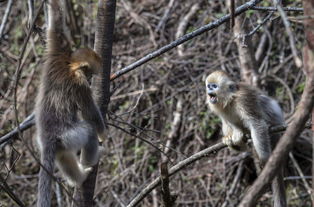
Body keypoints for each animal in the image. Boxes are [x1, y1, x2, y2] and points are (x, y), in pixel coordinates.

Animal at [36, 0, 105, 206]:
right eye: (90, 73)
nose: (91, 78)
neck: (69, 66)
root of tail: (48, 138)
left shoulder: (56, 52)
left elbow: (56, 24)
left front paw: (51, 5)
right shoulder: (79, 83)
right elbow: (90, 113)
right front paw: (104, 134)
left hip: (61, 143)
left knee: (63, 157)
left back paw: (79, 177)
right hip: (70, 135)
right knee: (88, 131)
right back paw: (89, 164)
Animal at [205, 71, 286, 207]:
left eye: (214, 86)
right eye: (209, 86)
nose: (209, 89)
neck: (230, 100)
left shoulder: (243, 99)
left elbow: (257, 123)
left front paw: (265, 159)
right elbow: (230, 122)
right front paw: (237, 134)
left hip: (274, 119)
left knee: (262, 103)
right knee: (227, 122)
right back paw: (235, 142)